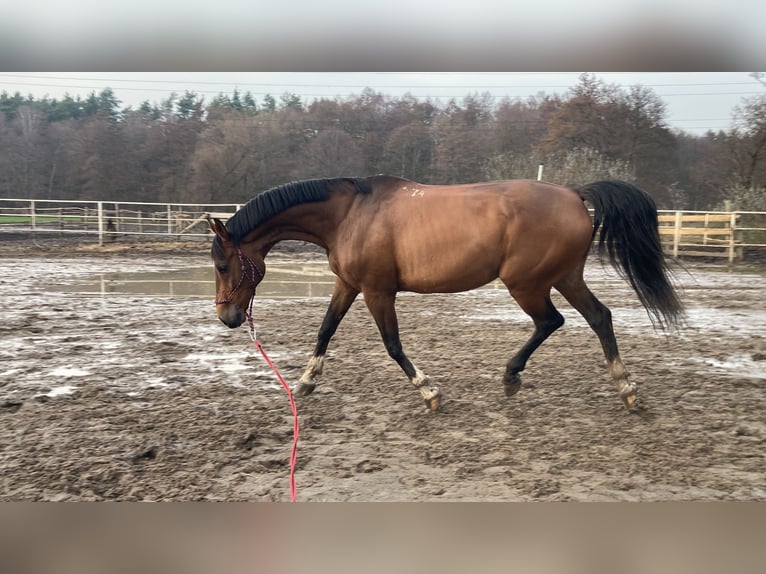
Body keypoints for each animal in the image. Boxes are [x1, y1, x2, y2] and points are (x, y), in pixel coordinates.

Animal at [208, 175, 683, 411]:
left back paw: (512, 376)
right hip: (564, 276)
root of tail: (573, 193)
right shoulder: (348, 285)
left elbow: (393, 345)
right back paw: (625, 388)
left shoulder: (378, 291)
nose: (228, 318)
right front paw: (305, 382)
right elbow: (325, 330)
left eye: (221, 265)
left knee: (552, 321)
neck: (349, 215)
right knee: (599, 317)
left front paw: (430, 393)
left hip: (527, 283)